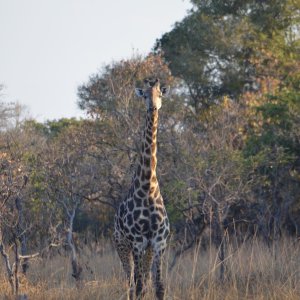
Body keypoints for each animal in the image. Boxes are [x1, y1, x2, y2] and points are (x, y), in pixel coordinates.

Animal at [113, 78, 170, 298]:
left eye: (160, 94)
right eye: (144, 95)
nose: (152, 107)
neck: (148, 187)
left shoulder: (158, 243)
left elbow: (159, 286)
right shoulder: (137, 242)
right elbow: (137, 286)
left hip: (147, 251)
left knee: (143, 281)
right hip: (122, 245)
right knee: (130, 283)